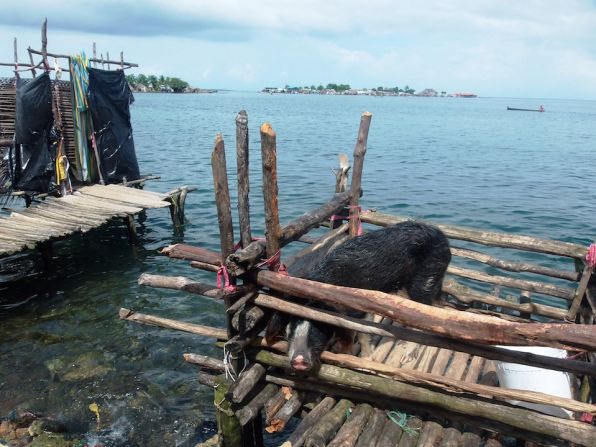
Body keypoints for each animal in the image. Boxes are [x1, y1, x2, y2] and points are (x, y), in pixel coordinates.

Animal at [266, 220, 452, 372]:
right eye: (292, 320)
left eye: (321, 323)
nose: (299, 360)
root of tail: (442, 237)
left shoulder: (359, 308)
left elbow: (362, 333)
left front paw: (365, 361)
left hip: (424, 280)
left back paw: (405, 356)